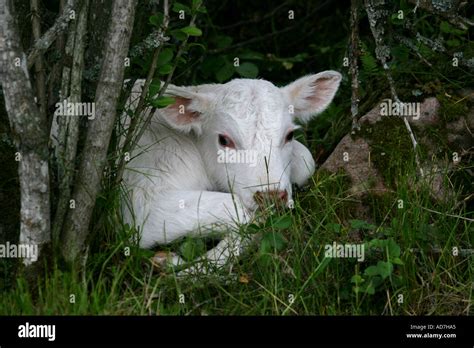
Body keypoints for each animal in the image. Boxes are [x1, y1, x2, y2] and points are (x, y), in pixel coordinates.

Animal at [122, 71, 340, 274]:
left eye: (290, 135)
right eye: (224, 140)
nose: (270, 195)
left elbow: (306, 161)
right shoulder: (143, 201)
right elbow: (243, 213)